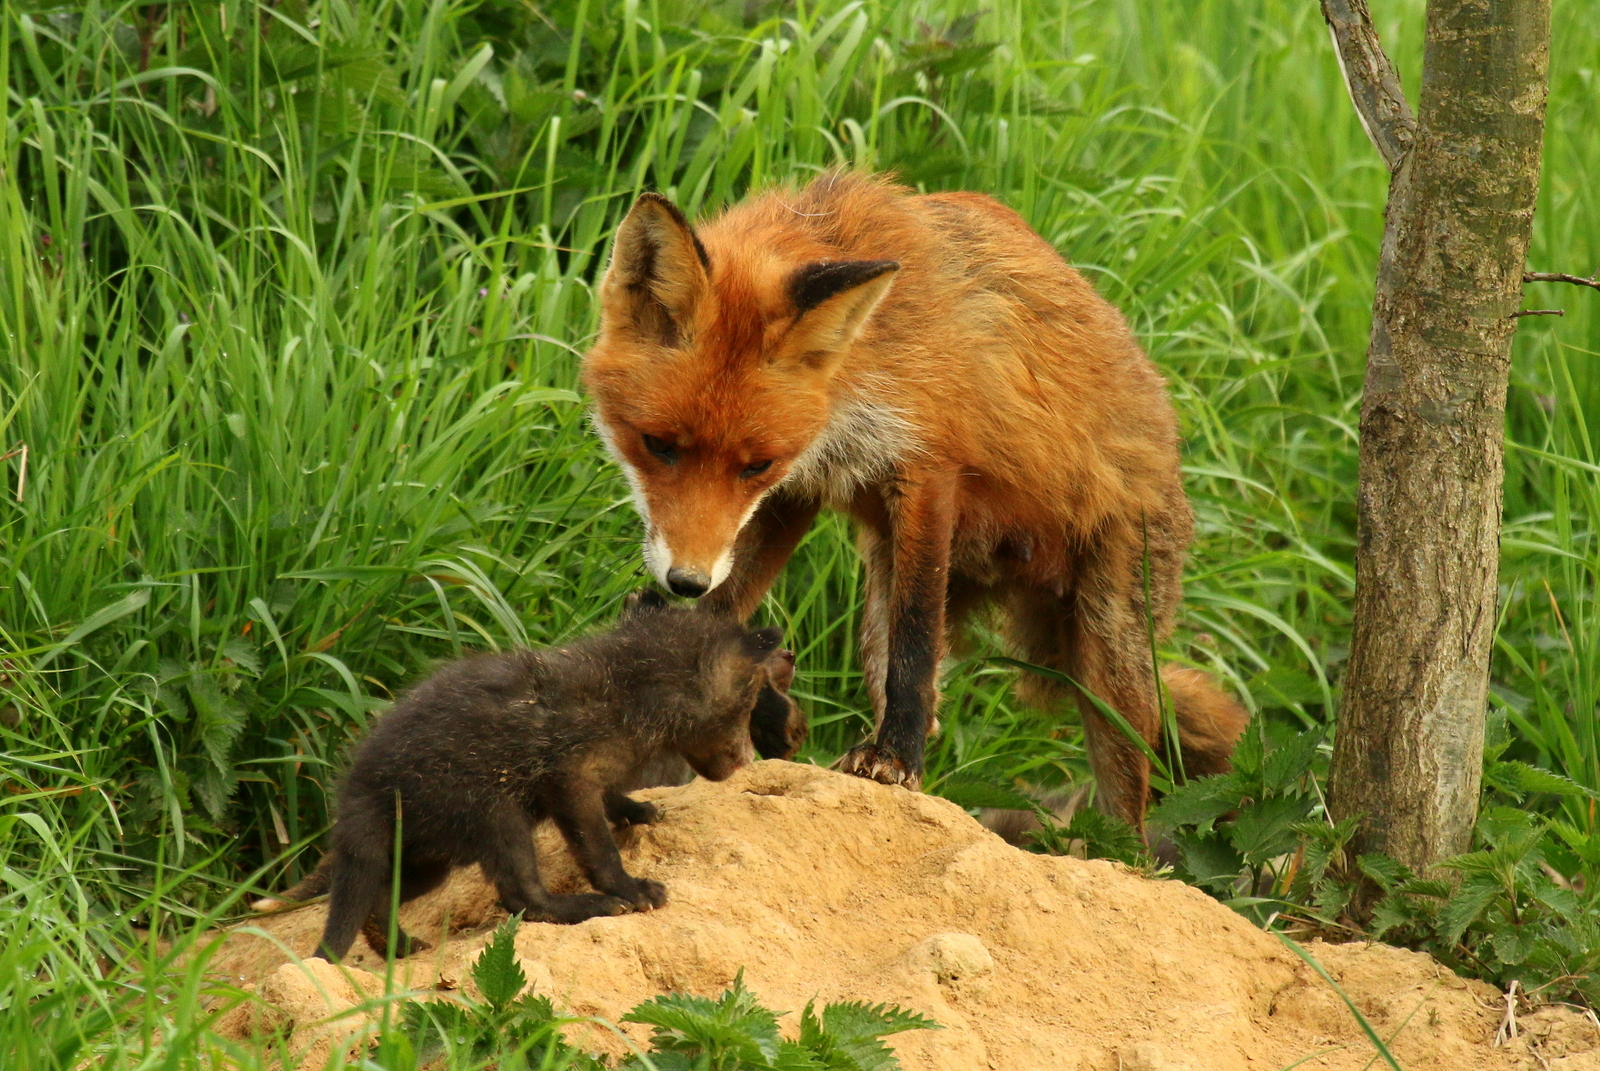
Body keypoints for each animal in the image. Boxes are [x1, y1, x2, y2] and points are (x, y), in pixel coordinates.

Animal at [579, 173, 1248, 826]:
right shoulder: (800, 488)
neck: (858, 366)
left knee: (1125, 808)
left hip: (1109, 662)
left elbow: (916, 642)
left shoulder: (925, 468)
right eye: (658, 446)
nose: (685, 581)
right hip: (884, 589)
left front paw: (895, 757)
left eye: (755, 464)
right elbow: (730, 606)